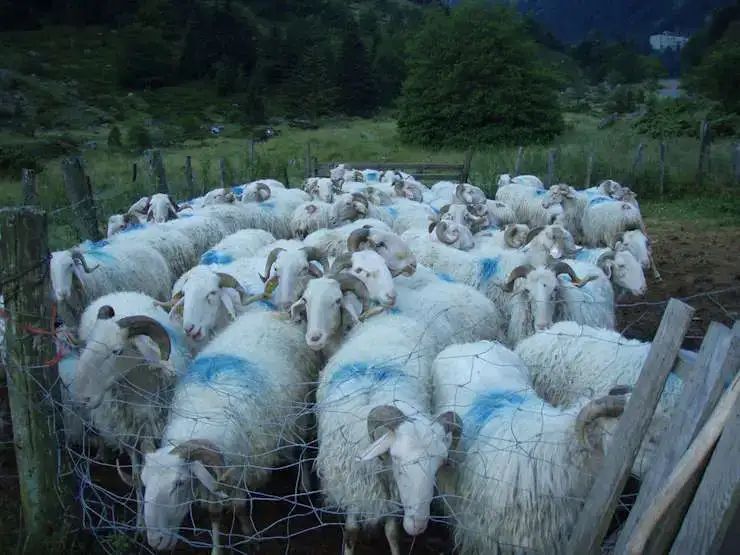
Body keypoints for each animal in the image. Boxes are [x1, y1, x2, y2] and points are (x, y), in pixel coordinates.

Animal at [140, 310, 322, 552]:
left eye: (179, 483)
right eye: (144, 482)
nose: (155, 541)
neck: (199, 418)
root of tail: (273, 313)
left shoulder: (241, 469)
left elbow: (239, 507)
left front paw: (250, 537)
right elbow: (214, 514)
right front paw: (217, 548)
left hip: (302, 409)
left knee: (301, 447)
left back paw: (304, 485)